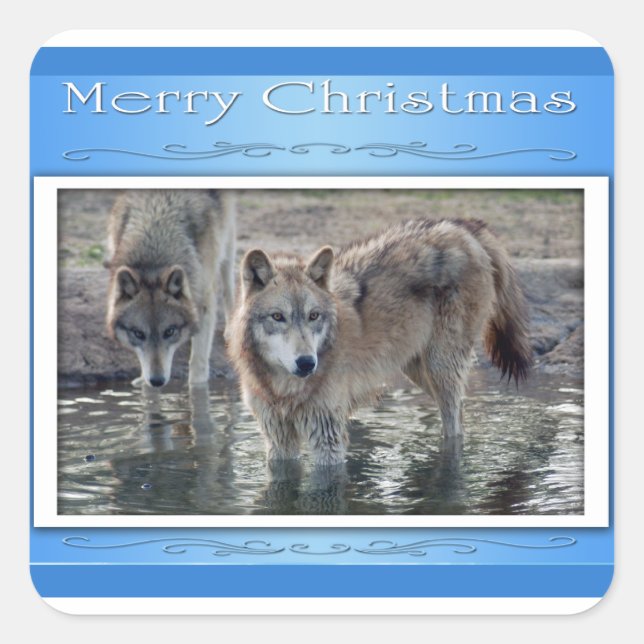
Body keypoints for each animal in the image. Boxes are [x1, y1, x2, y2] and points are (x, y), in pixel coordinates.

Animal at [106, 189, 236, 387]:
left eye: (169, 332)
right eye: (138, 334)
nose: (157, 381)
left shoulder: (204, 299)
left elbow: (198, 366)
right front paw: (143, 382)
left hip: (226, 238)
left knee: (229, 279)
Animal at [228, 218, 532, 465]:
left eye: (313, 316)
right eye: (278, 317)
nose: (306, 364)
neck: (283, 390)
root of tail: (464, 228)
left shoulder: (327, 436)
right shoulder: (278, 439)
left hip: (440, 368)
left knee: (455, 425)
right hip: (419, 372)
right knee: (460, 416)